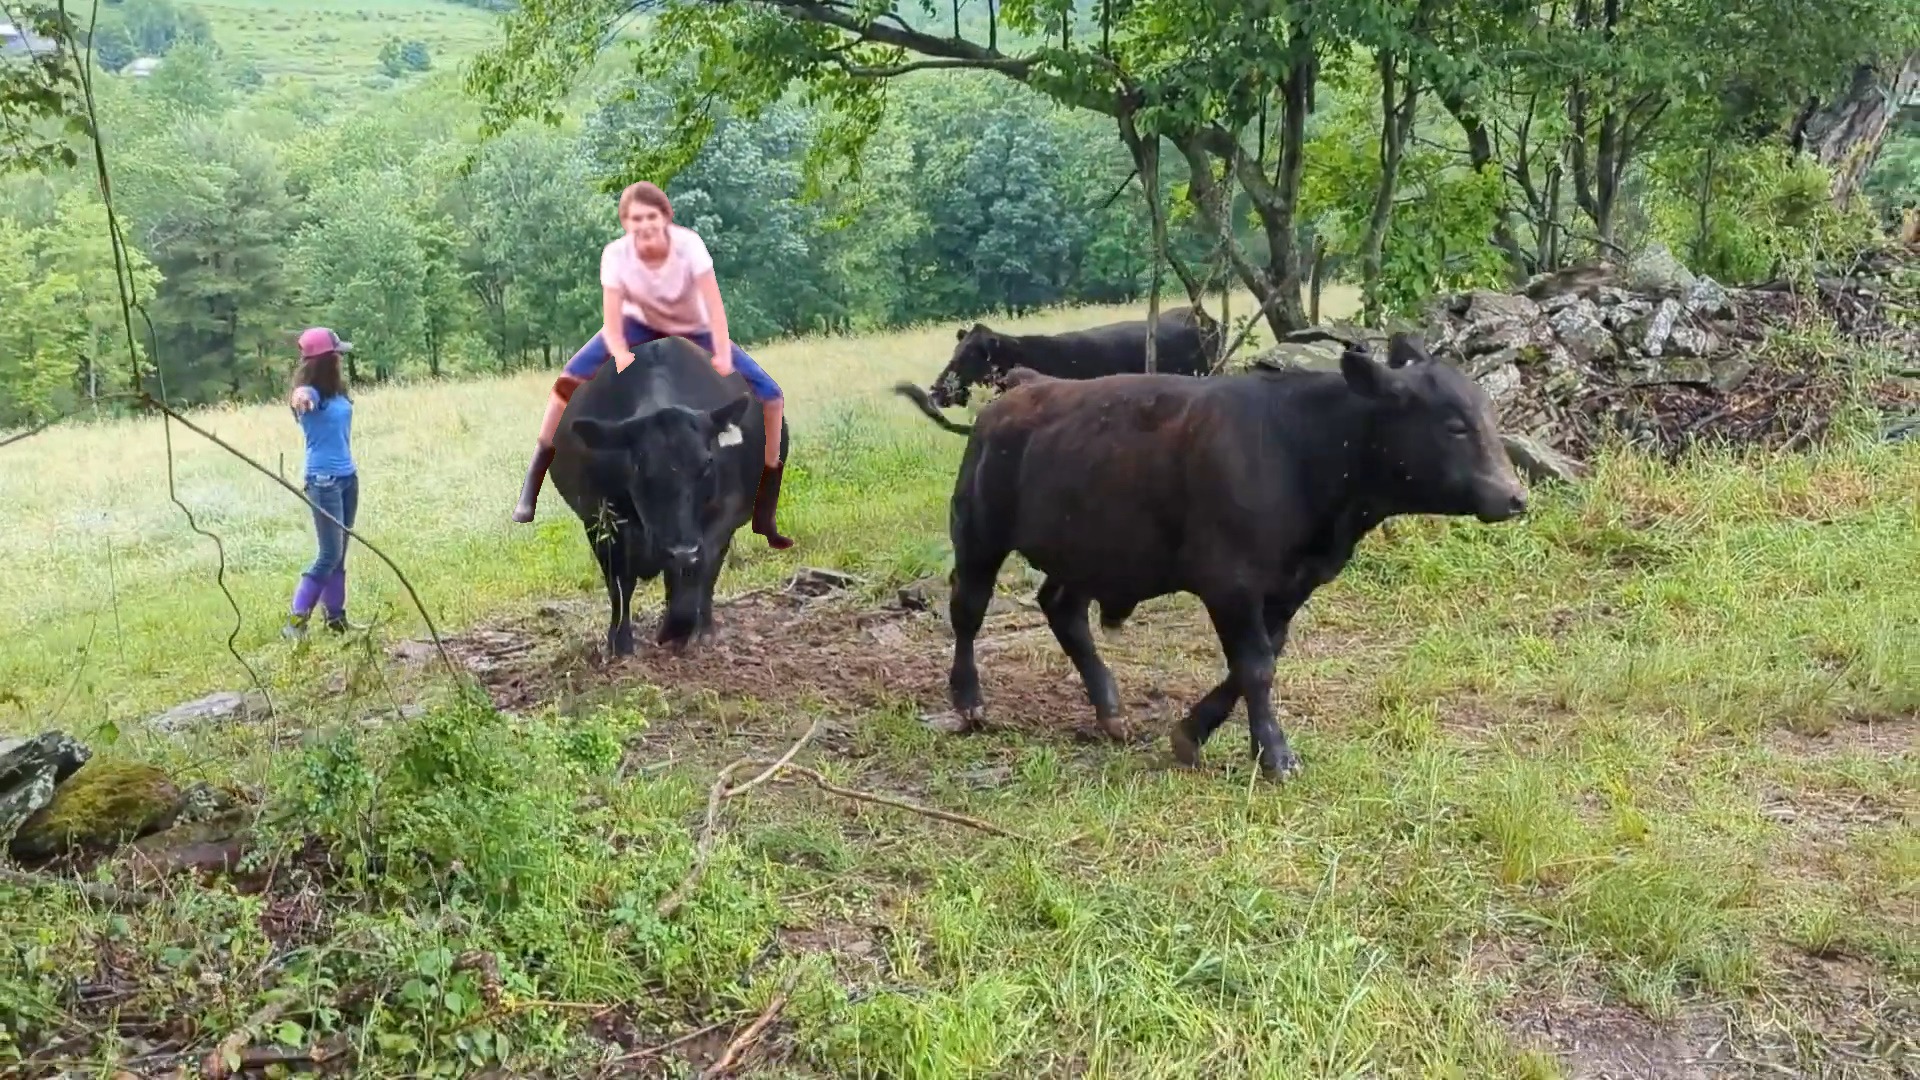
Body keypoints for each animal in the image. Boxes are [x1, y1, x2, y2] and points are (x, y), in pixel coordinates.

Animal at [549, 335, 786, 656]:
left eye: (707, 462)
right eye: (638, 466)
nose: (681, 550)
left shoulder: (723, 513)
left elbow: (698, 571)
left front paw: (678, 629)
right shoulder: (597, 517)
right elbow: (619, 583)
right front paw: (620, 644)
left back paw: (704, 627)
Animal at [890, 333, 1528, 780]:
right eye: (1454, 425)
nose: (1515, 496)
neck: (1303, 450)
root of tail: (1023, 385)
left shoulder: (1290, 587)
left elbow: (1256, 662)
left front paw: (1192, 732)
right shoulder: (1231, 581)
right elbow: (1256, 666)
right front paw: (1275, 756)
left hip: (1089, 549)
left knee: (1063, 609)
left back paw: (1110, 711)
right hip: (978, 535)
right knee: (967, 610)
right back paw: (969, 702)